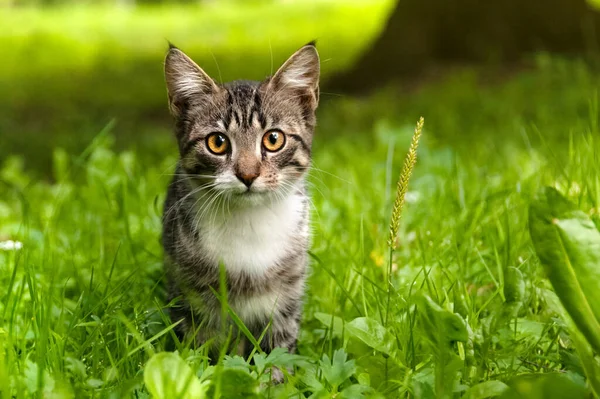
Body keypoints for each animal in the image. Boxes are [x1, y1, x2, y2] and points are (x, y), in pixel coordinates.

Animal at [159, 42, 318, 370]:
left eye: (273, 139)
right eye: (217, 142)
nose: (247, 174)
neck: (250, 221)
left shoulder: (288, 291)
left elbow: (279, 349)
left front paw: (276, 378)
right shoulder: (192, 293)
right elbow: (201, 347)